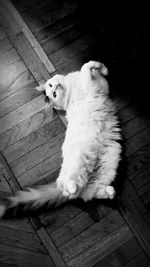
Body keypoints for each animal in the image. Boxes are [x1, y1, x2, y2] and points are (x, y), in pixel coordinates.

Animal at [0, 61, 121, 218]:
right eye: (54, 94)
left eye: (52, 87)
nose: (56, 86)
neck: (70, 85)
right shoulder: (88, 83)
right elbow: (86, 66)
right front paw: (97, 68)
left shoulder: (103, 86)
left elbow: (97, 67)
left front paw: (103, 69)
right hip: (78, 163)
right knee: (70, 188)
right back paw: (73, 187)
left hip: (109, 163)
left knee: (90, 193)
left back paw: (110, 192)